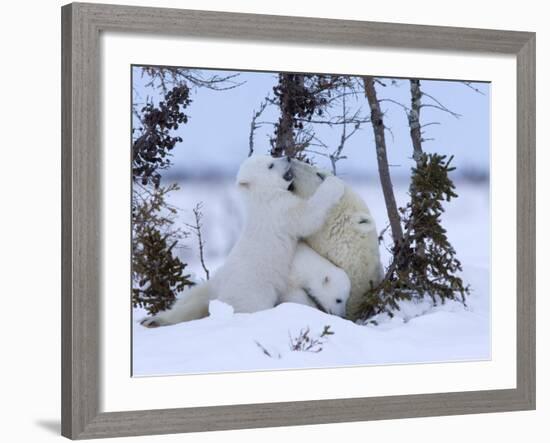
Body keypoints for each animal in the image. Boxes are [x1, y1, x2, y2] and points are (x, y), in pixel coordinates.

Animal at [141, 154, 344, 328]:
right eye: (271, 165)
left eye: (271, 156)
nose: (287, 157)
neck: (261, 196)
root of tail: (223, 302)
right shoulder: (279, 210)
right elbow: (308, 216)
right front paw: (333, 183)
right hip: (253, 293)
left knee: (190, 300)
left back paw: (153, 320)